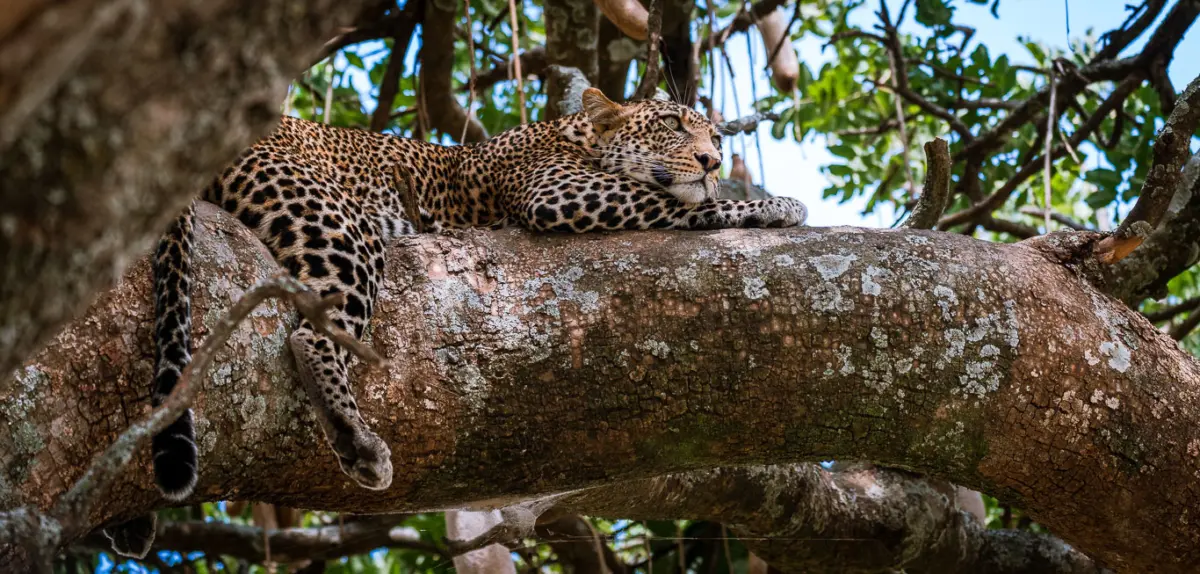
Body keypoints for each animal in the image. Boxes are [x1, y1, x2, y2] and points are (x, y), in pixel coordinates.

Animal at [108, 87, 811, 557]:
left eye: (717, 137)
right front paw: (775, 203)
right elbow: (674, 202)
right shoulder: (561, 194)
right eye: (670, 126)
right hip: (336, 219)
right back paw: (358, 441)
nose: (714, 161)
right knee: (312, 332)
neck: (573, 135)